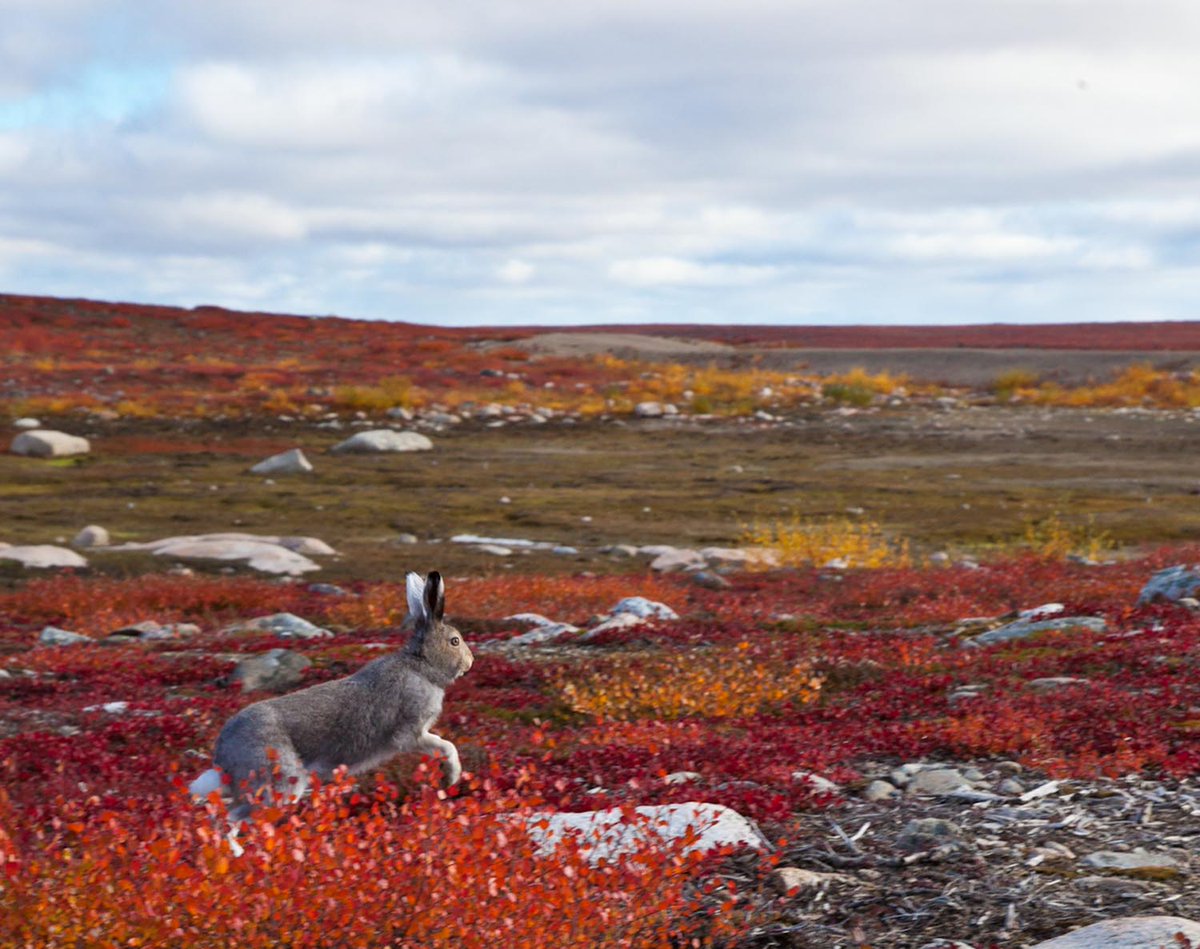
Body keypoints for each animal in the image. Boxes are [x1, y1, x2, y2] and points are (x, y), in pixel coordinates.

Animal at [189, 570, 473, 820]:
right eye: (455, 641)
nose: (470, 662)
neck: (421, 665)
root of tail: (222, 756)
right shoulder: (410, 733)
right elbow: (446, 746)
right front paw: (453, 776)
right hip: (278, 780)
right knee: (233, 819)